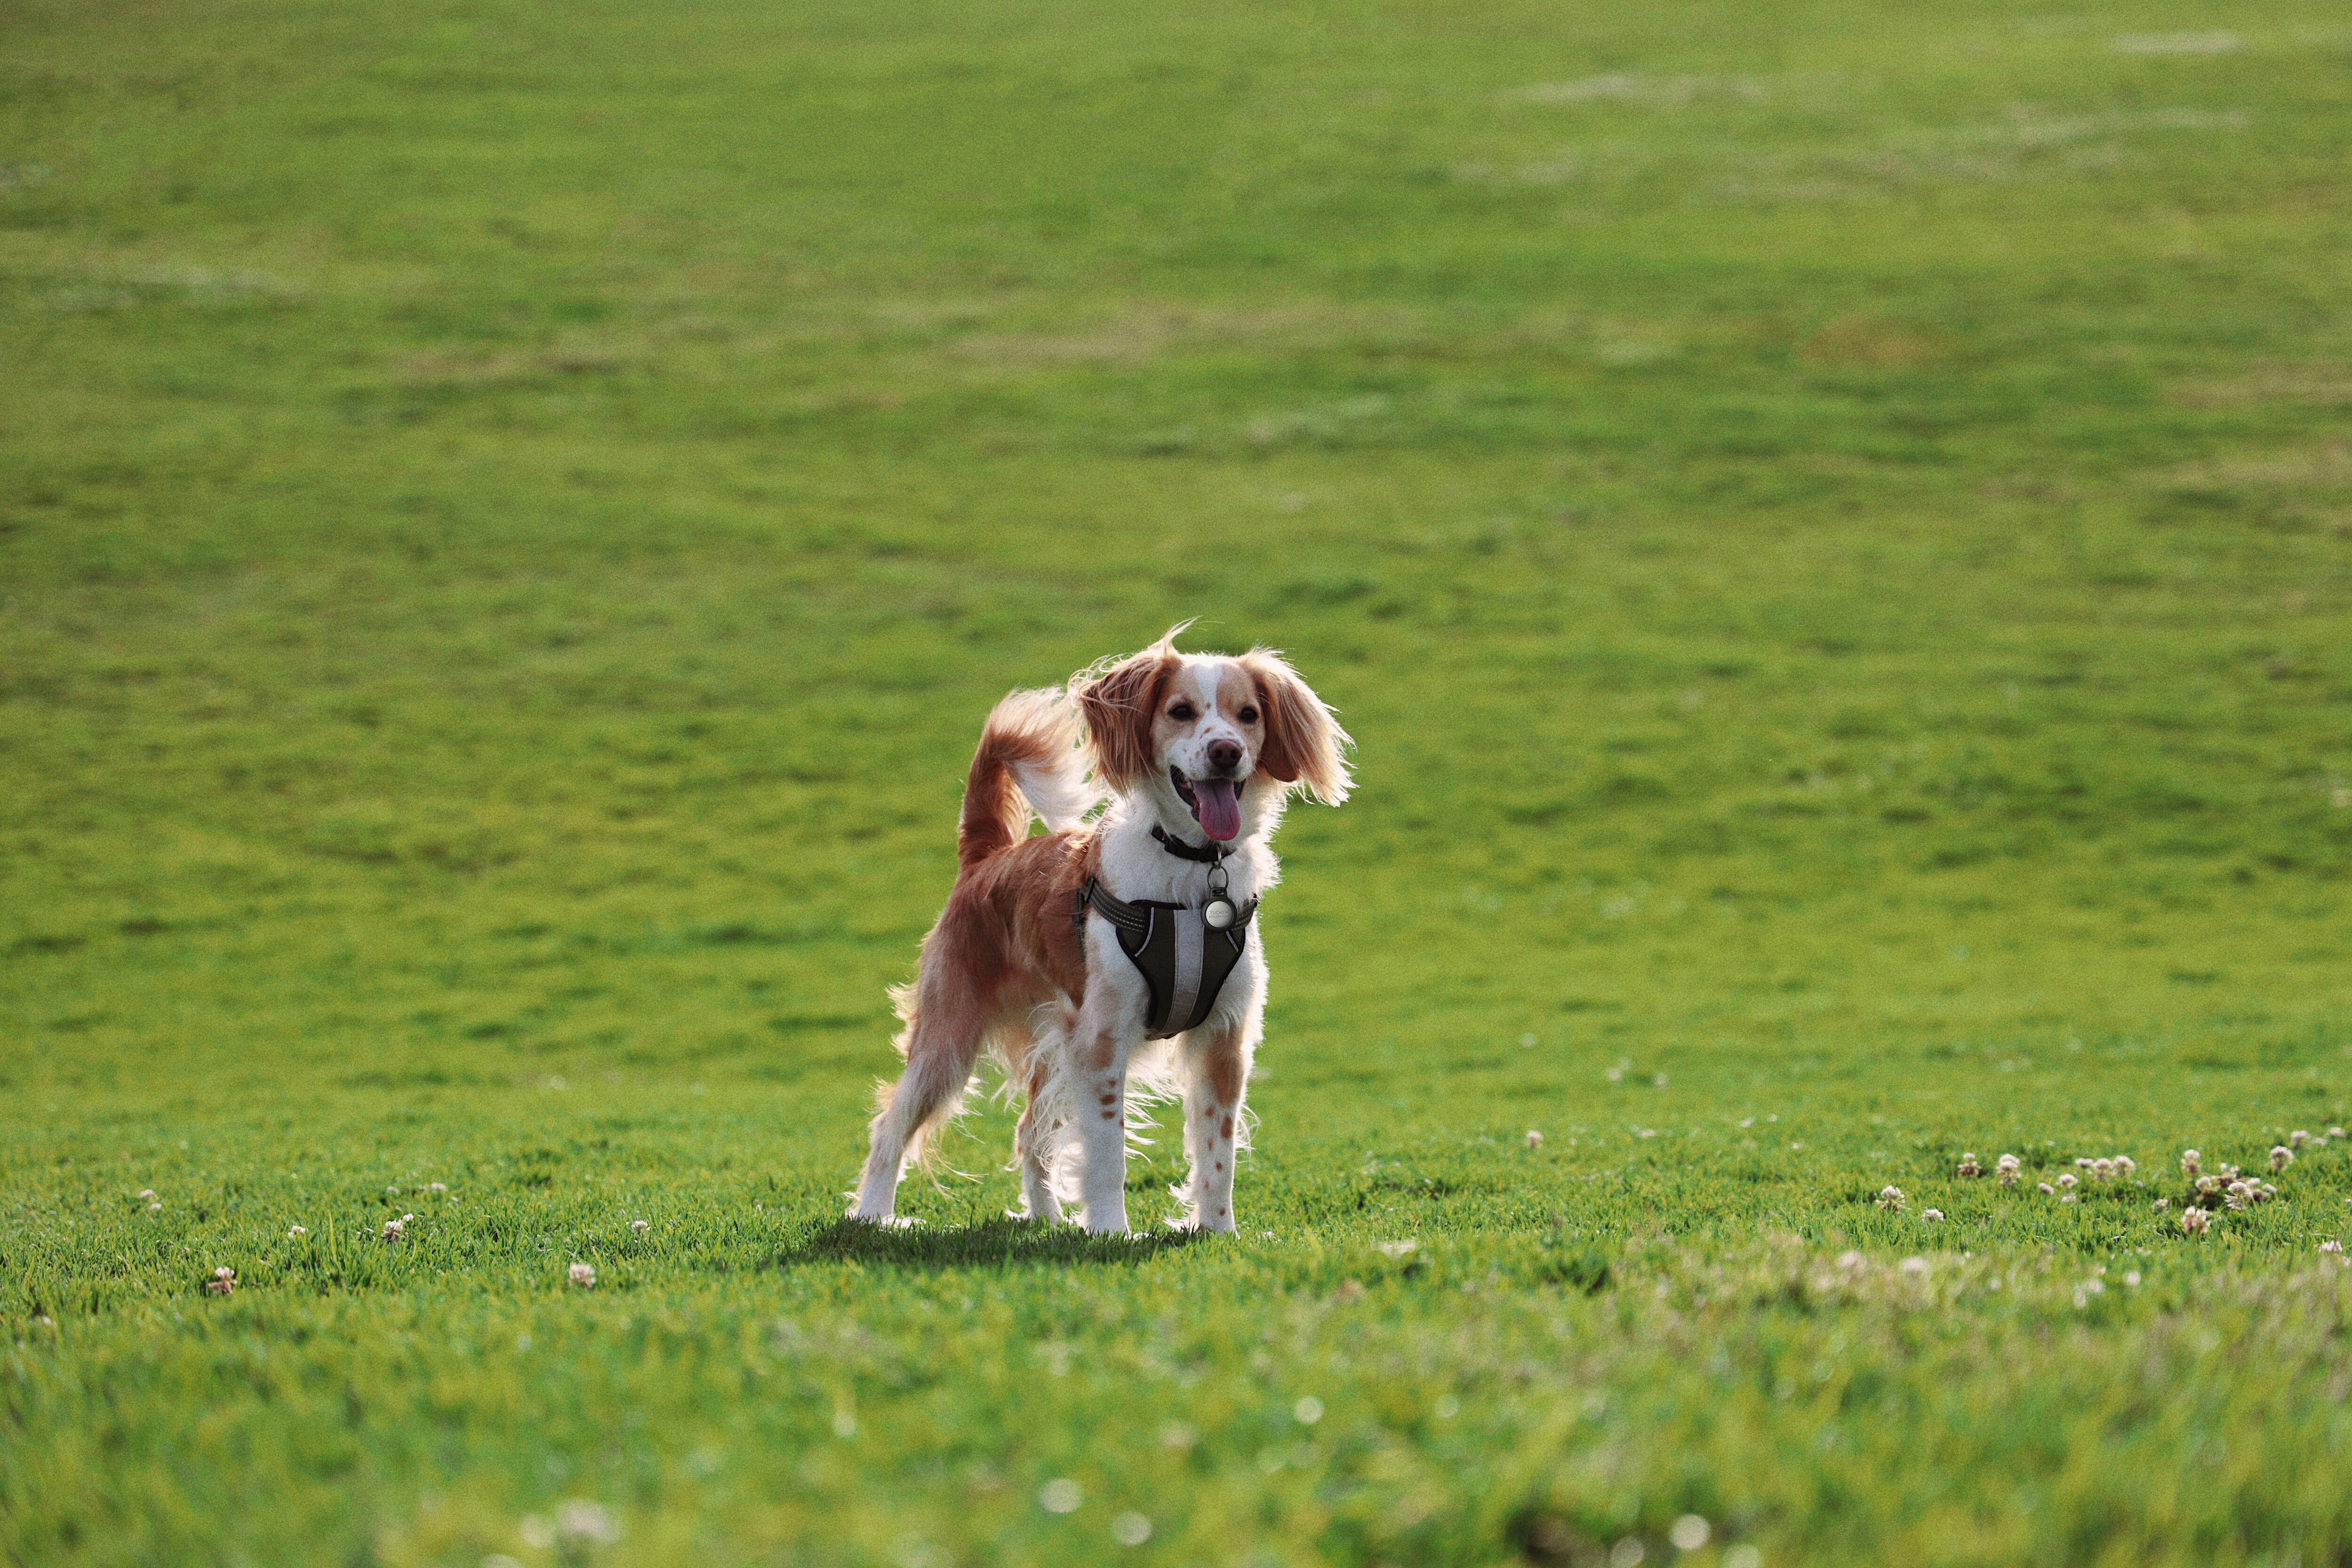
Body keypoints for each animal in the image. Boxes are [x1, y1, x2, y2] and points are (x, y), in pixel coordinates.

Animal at [856, 630, 1355, 1241]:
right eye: (1180, 712)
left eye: (1248, 715)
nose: (1226, 751)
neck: (1190, 872)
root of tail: (986, 857)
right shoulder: (1100, 1039)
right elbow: (1106, 1154)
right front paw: (1111, 1232)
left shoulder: (1222, 1038)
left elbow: (1218, 1154)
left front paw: (1219, 1232)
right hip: (947, 1040)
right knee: (890, 1124)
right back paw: (873, 1216)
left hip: (1049, 1048)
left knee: (1028, 1133)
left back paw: (1044, 1219)